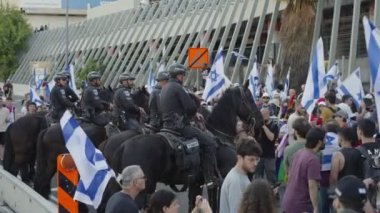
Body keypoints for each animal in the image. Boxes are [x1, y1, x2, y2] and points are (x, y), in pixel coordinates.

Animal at [98, 84, 264, 212]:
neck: (219, 134)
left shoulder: (196, 183)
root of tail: (122, 146)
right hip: (141, 189)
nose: (260, 121)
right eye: (249, 98)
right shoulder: (221, 180)